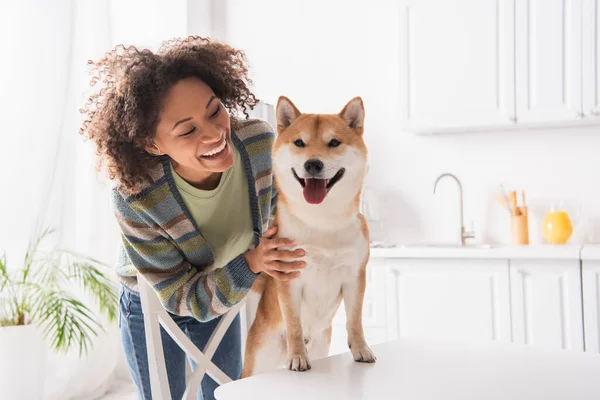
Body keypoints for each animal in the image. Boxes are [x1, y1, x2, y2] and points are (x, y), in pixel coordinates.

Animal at [243, 95, 376, 376]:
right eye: (299, 143)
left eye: (334, 142)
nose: (313, 164)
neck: (322, 220)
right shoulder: (289, 278)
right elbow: (294, 323)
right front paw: (297, 358)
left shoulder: (355, 276)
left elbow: (355, 319)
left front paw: (361, 349)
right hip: (259, 356)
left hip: (321, 344)